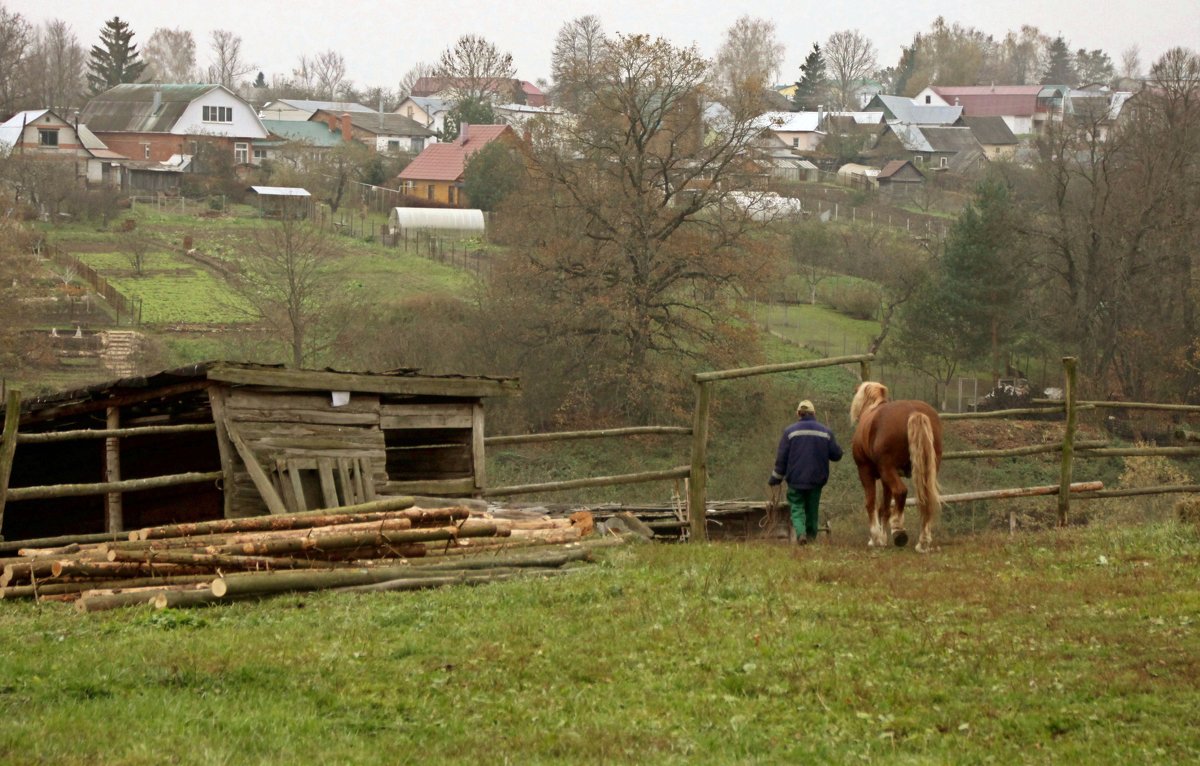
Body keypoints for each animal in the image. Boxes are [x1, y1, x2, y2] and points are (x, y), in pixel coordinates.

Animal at [849, 381, 940, 552]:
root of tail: (914, 411)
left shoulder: (865, 471)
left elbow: (871, 503)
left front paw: (875, 538)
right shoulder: (885, 480)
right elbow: (884, 507)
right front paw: (883, 538)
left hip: (887, 469)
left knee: (901, 491)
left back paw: (898, 530)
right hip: (925, 470)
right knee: (925, 498)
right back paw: (923, 542)